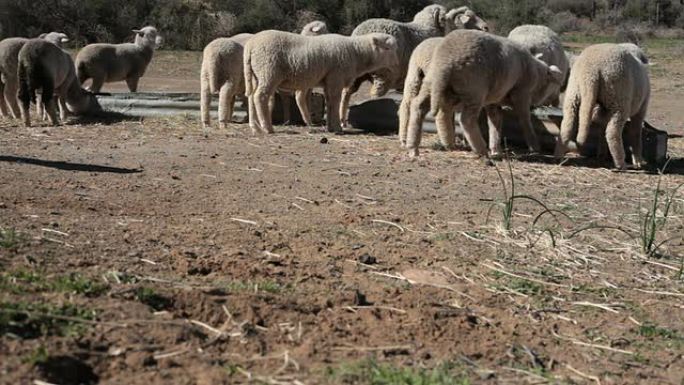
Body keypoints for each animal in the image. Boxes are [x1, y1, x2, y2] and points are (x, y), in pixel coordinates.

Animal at [244, 29, 398, 134]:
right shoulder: (336, 77)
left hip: (257, 74)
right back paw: (267, 128)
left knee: (251, 97)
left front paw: (330, 127)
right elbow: (335, 102)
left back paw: (255, 127)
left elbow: (329, 102)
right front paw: (337, 128)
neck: (357, 52)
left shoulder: (329, 80)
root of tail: (250, 45)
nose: (397, 63)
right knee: (260, 97)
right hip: (268, 71)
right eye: (387, 48)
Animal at [340, 4, 488, 127]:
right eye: (470, 18)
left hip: (357, 73)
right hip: (383, 73)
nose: (486, 27)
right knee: (375, 95)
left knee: (346, 92)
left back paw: (342, 121)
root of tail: (361, 33)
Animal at [406, 28, 560, 158]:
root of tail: (445, 62)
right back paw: (481, 150)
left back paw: (413, 147)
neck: (537, 73)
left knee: (418, 105)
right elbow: (524, 119)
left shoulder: (494, 99)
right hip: (474, 89)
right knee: (466, 120)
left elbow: (495, 120)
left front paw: (496, 149)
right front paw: (535, 147)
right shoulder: (521, 93)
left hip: (431, 82)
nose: (553, 101)